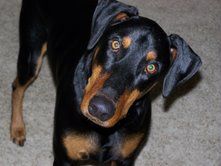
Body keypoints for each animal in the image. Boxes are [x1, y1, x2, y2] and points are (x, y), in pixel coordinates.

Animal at [10, 0, 202, 165]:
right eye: (115, 44)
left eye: (151, 67)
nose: (100, 109)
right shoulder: (64, 158)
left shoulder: (124, 160)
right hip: (32, 52)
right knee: (17, 86)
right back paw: (17, 128)